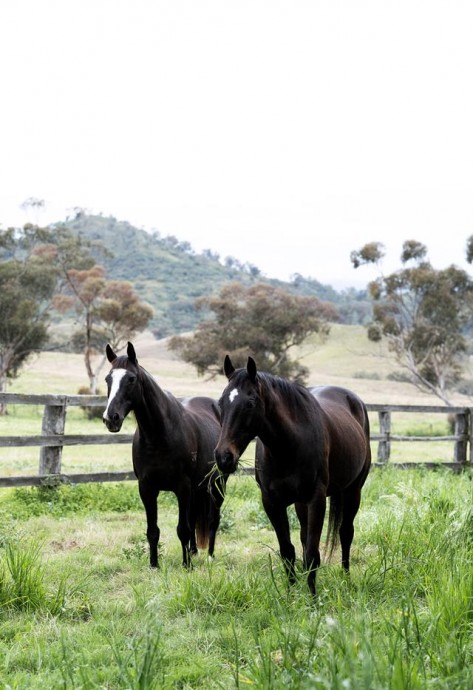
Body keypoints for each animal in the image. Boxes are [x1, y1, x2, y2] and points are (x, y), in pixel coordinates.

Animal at [103, 342, 229, 568]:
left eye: (131, 379)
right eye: (108, 379)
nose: (111, 418)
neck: (159, 435)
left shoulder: (182, 486)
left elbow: (183, 529)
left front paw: (186, 566)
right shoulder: (146, 488)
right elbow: (153, 531)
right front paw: (154, 565)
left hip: (218, 483)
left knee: (213, 520)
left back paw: (209, 556)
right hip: (198, 487)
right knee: (195, 516)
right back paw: (194, 552)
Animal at [214, 354, 372, 592]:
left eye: (250, 403)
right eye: (221, 402)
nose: (224, 457)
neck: (288, 446)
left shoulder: (316, 500)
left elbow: (312, 554)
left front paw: (312, 597)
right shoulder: (272, 502)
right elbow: (288, 551)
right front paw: (290, 593)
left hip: (353, 491)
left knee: (345, 533)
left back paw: (346, 578)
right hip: (301, 502)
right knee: (305, 537)